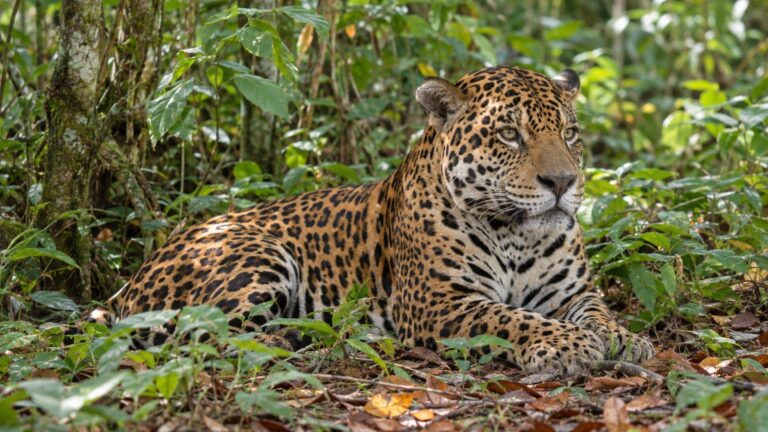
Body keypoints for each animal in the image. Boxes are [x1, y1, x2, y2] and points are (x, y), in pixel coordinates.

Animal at [112, 66, 655, 374]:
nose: (562, 183)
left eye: (570, 134)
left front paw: (625, 339)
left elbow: (599, 311)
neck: (516, 235)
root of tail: (128, 283)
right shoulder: (437, 301)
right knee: (205, 334)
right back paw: (299, 338)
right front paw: (565, 343)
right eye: (508, 134)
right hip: (255, 253)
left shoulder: (571, 292)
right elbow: (506, 317)